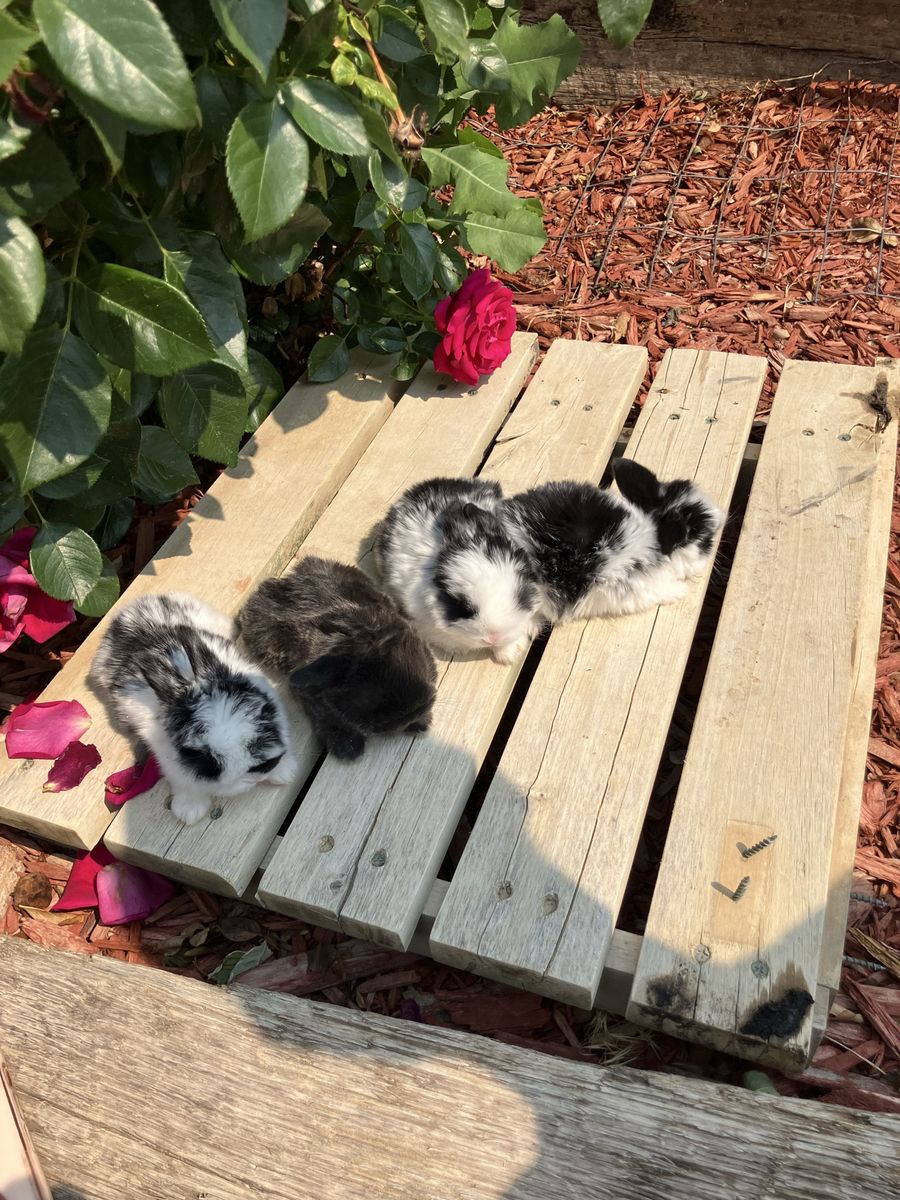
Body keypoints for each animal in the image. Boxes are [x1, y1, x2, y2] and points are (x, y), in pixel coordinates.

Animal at [91, 592, 297, 826]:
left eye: (264, 721)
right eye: (205, 758)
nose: (250, 777)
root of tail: (127, 612)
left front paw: (285, 772)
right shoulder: (171, 762)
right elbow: (186, 784)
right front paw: (189, 811)